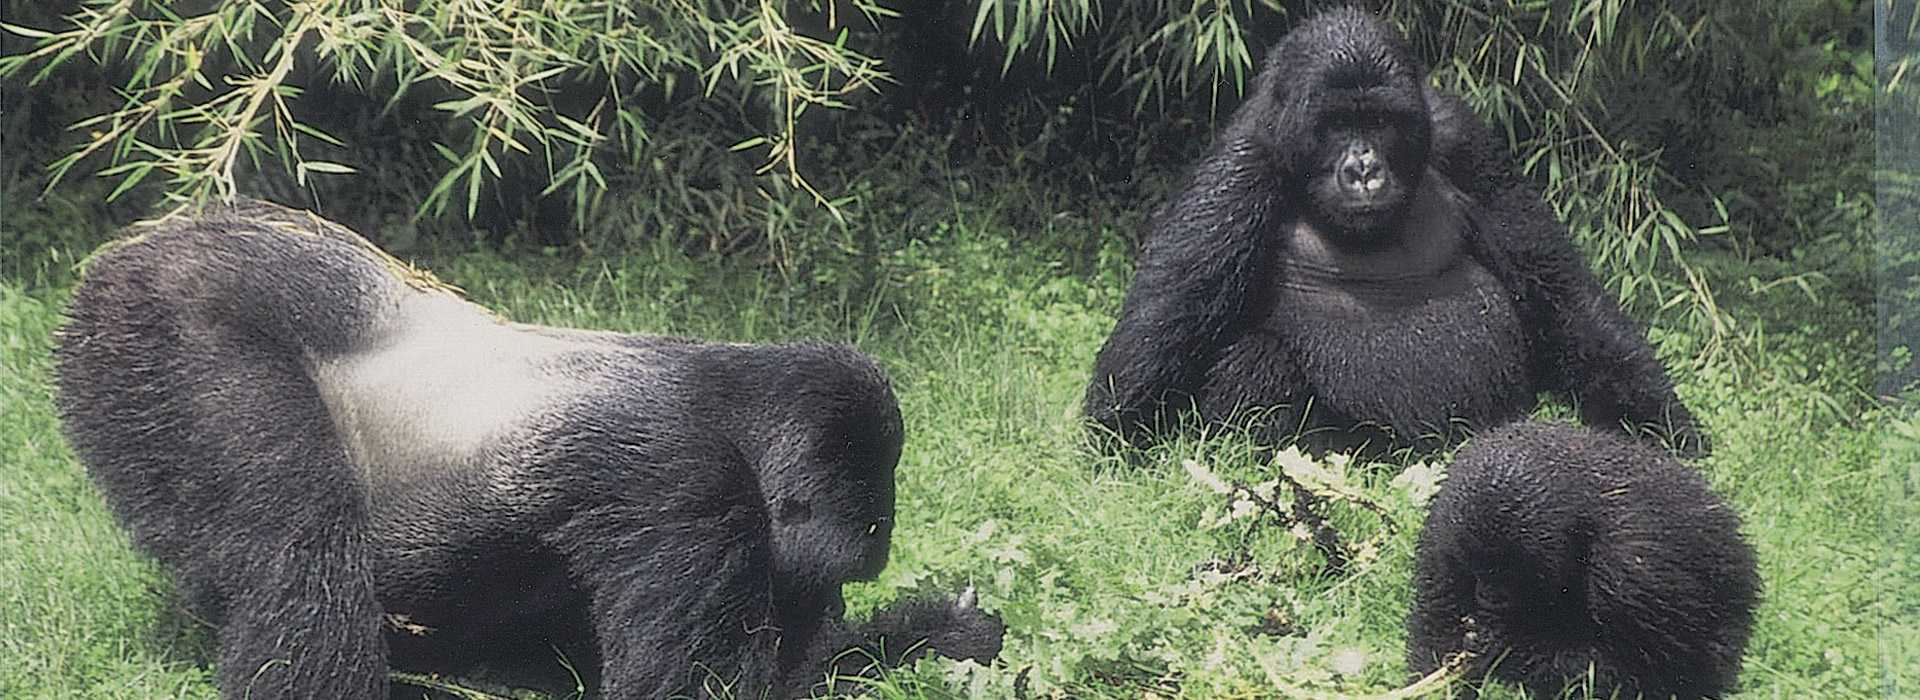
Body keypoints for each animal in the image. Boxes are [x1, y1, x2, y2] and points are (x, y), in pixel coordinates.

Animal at [52, 199, 1006, 694]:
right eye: (867, 528)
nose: (876, 546)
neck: (734, 398)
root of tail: (136, 242)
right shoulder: (685, 486)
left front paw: (941, 635)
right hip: (166, 320)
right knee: (300, 541)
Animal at [1090, 8, 1704, 454]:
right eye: (1338, 124)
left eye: (1382, 121)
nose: (1364, 169)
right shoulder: (1244, 163)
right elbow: (1166, 321)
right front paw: (1115, 449)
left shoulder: (1464, 138)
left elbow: (1560, 295)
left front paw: (1658, 422)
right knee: (1262, 357)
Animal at [1405, 420, 1758, 698]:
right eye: (1478, 568)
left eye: (1512, 572)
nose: (1490, 595)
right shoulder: (1443, 530)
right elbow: (1436, 631)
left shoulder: (1634, 570)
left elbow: (1629, 669)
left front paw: (1505, 648)